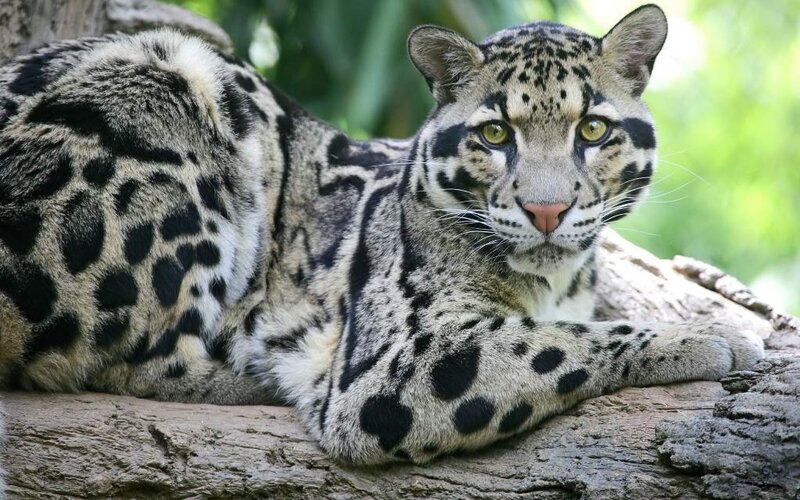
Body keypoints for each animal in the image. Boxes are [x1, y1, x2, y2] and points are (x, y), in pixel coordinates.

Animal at [0, 4, 764, 467]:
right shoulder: (390, 365)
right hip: (170, 81)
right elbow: (555, 341)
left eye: (594, 129)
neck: (554, 276)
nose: (545, 210)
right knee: (119, 360)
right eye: (495, 134)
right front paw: (705, 336)